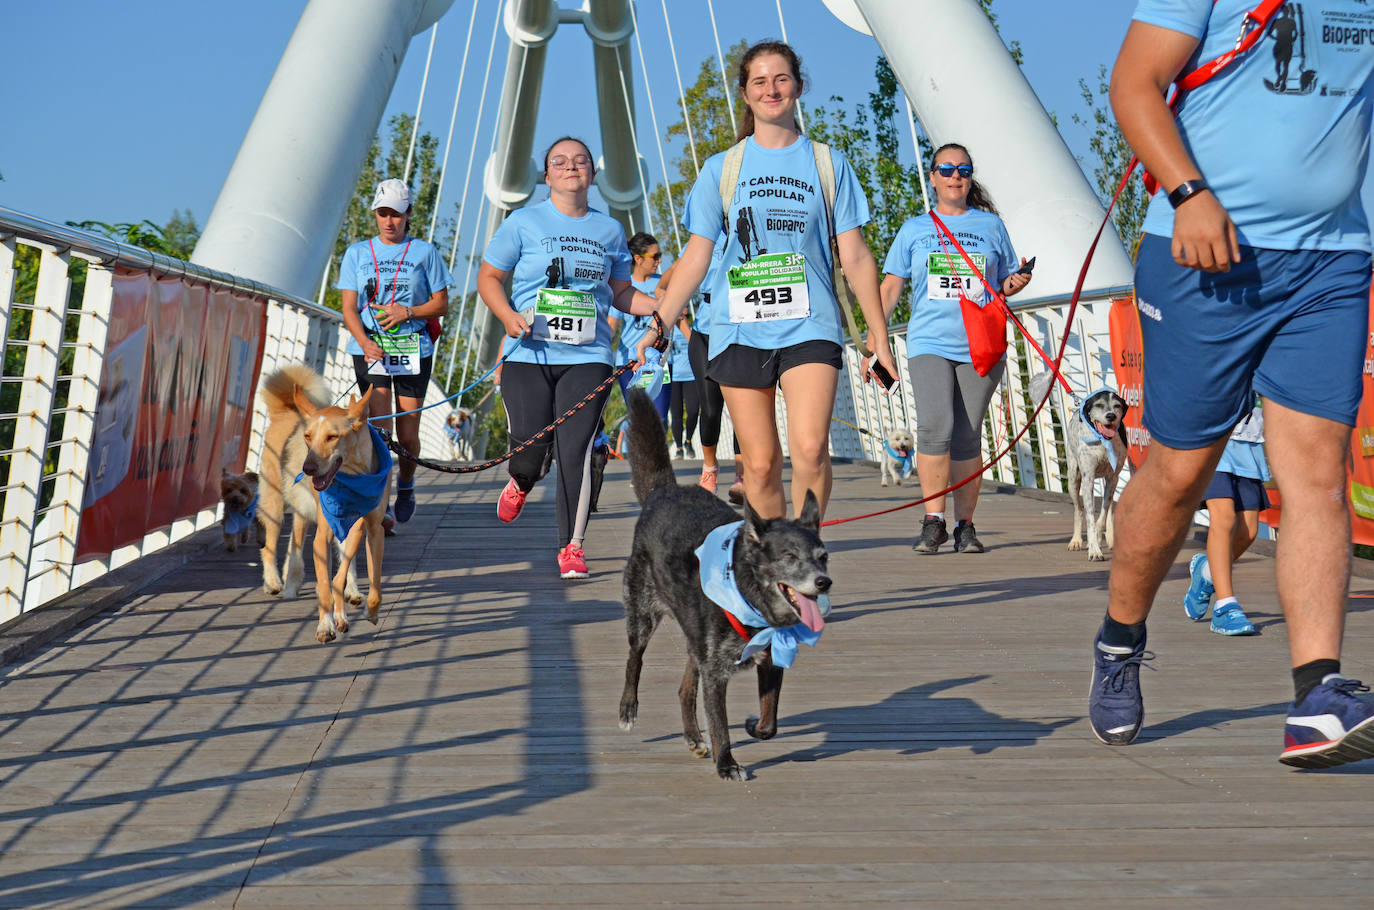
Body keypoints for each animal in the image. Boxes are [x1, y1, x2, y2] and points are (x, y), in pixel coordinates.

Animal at [621, 387, 829, 780]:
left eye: (822, 556)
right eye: (790, 556)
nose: (823, 582)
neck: (750, 596)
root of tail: (663, 491)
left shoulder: (769, 659)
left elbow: (769, 723)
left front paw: (751, 726)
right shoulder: (716, 672)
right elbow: (719, 723)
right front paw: (727, 764)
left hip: (694, 640)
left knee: (685, 690)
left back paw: (693, 738)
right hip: (642, 613)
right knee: (634, 658)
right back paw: (628, 708)